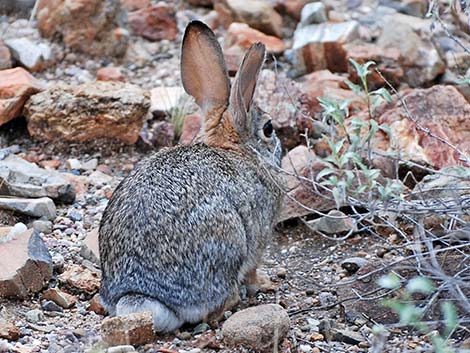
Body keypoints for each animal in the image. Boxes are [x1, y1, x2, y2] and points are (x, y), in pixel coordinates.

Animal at [98, 20, 282, 332]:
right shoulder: (259, 238)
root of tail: (140, 297)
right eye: (268, 128)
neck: (232, 148)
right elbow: (253, 270)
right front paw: (263, 283)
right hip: (229, 240)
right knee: (219, 304)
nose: (280, 147)